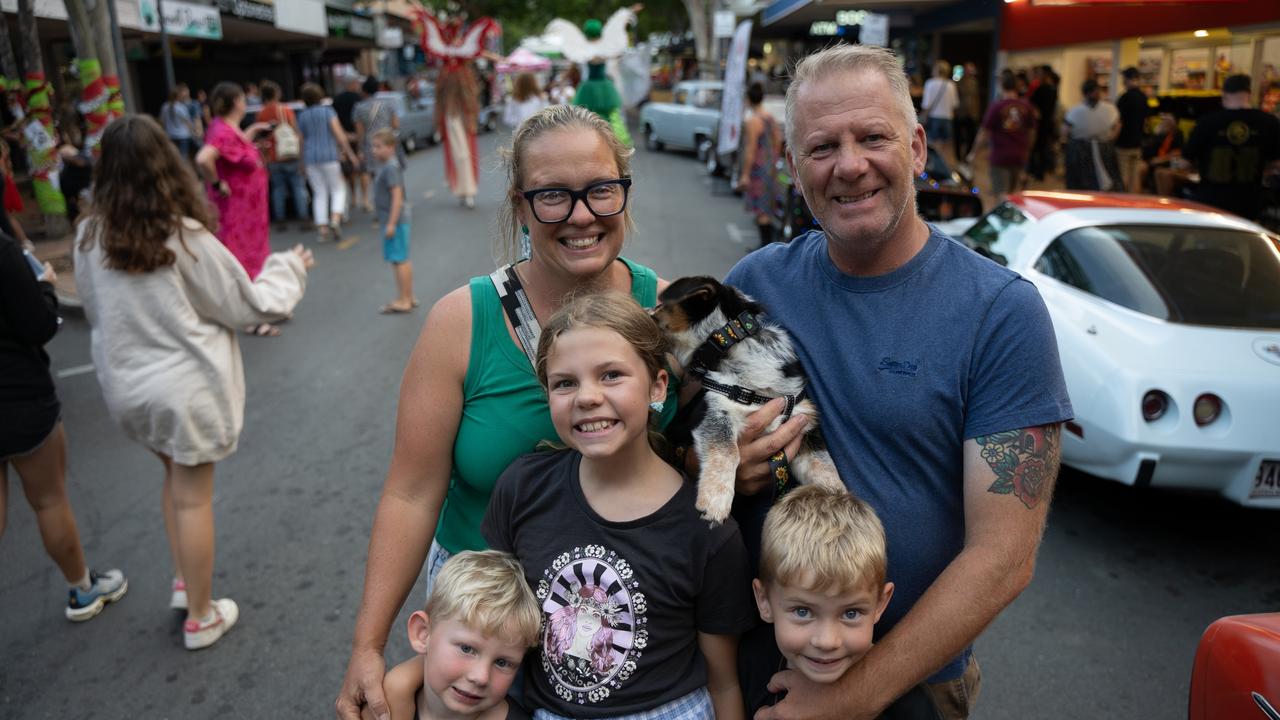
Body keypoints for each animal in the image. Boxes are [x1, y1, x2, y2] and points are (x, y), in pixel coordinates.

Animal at [650, 275, 849, 520]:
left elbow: (823, 465)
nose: (645, 310)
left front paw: (840, 498)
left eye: (658, 308)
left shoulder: (804, 423)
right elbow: (728, 452)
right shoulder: (715, 411)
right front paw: (715, 502)